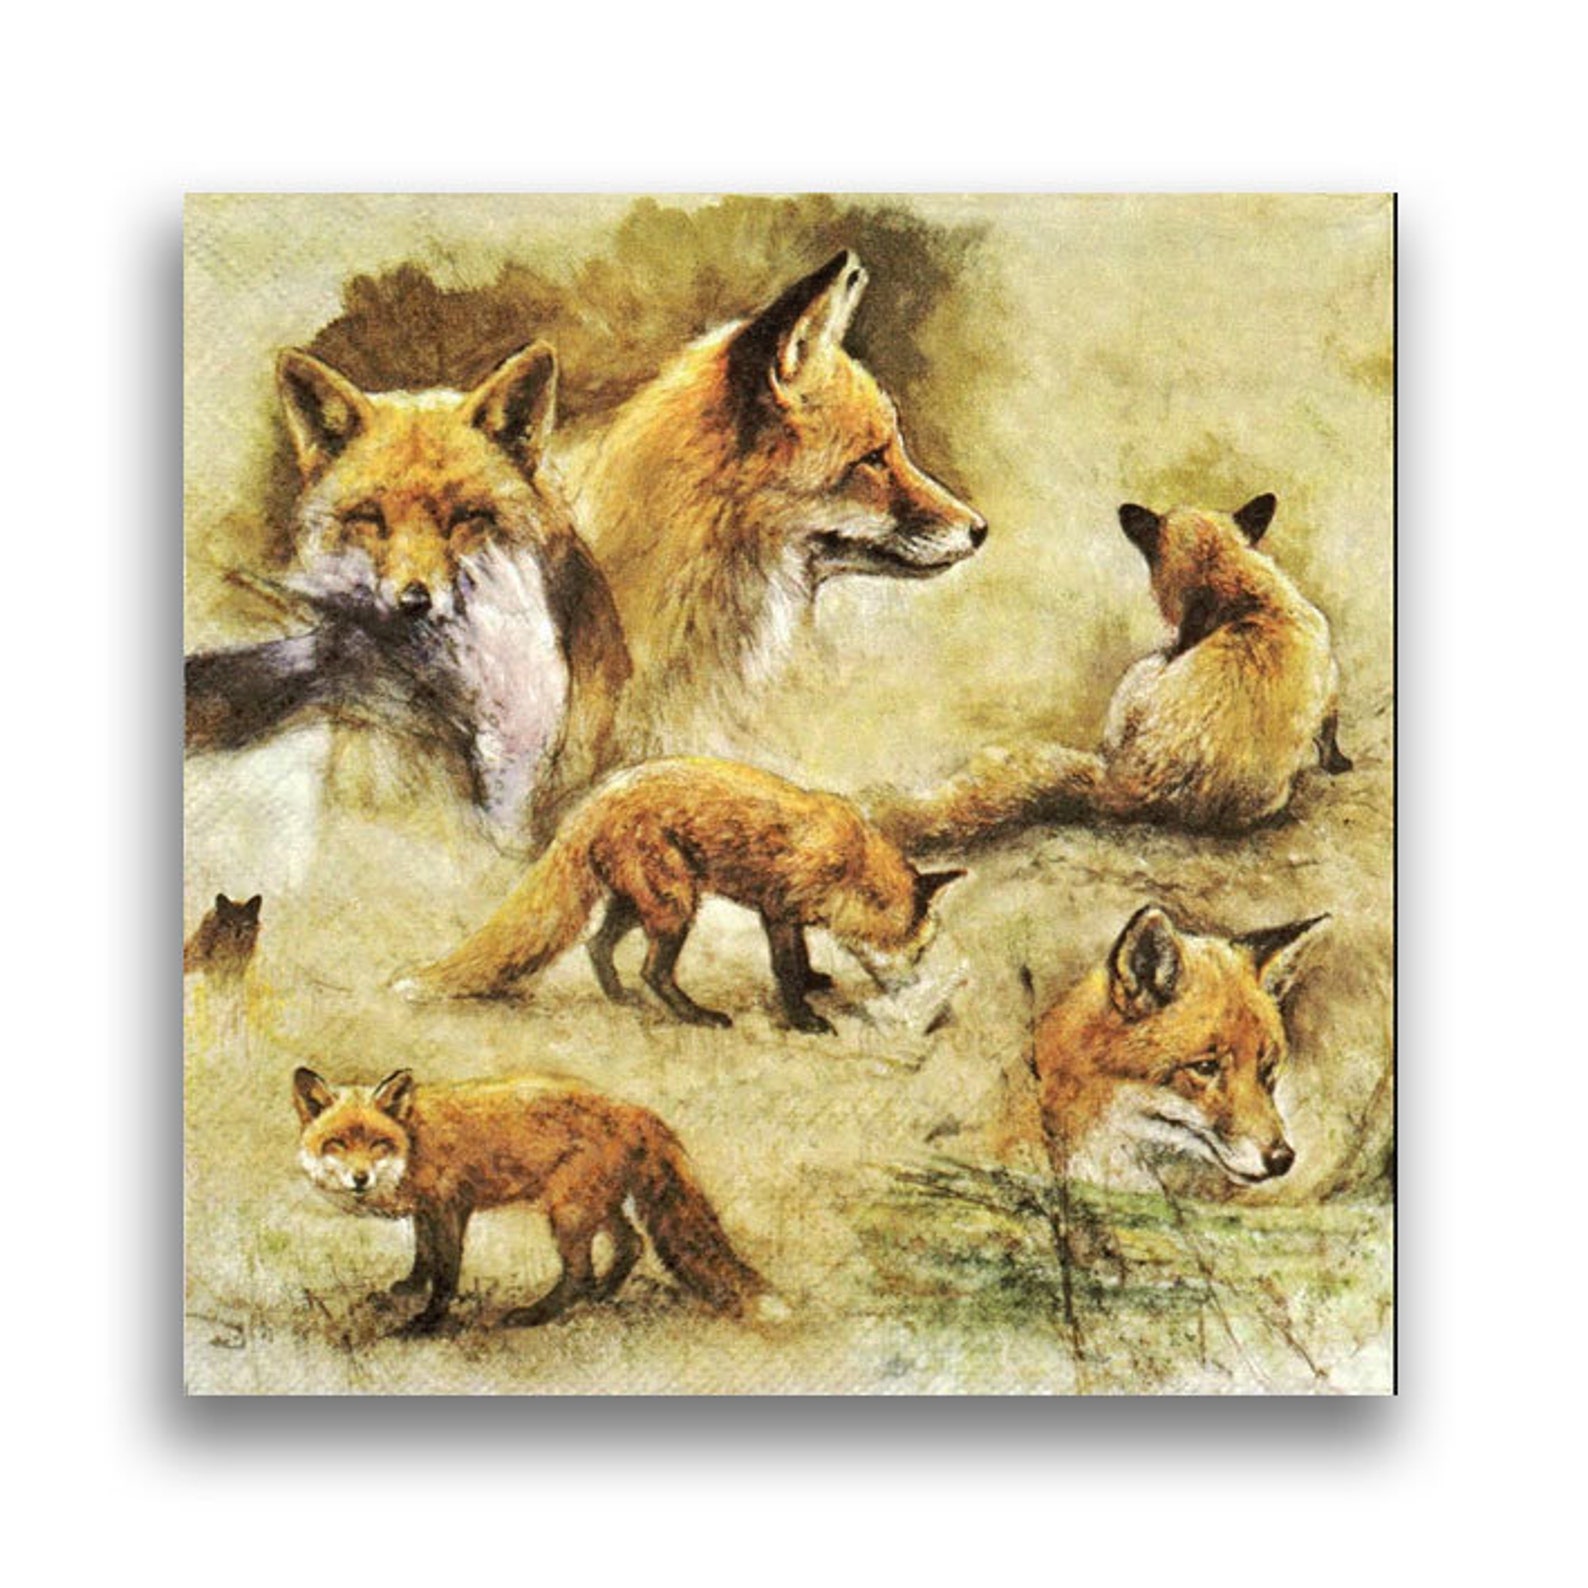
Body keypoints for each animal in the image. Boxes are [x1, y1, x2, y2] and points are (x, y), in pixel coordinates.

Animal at [292, 1066, 779, 1336]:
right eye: (337, 1143)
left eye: (378, 1143)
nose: (360, 1178)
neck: (415, 1139)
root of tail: (633, 1110)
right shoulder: (428, 1212)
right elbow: (423, 1257)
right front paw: (408, 1289)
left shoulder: (450, 1207)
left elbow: (446, 1273)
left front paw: (425, 1324)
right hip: (594, 1206)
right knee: (632, 1244)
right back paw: (602, 1295)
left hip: (569, 1213)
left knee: (580, 1271)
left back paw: (536, 1314)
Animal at [394, 757, 965, 1035]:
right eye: (917, 952)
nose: (917, 988)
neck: (847, 859)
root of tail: (597, 799)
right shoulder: (778, 910)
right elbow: (784, 967)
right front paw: (803, 1019)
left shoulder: (788, 915)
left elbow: (800, 960)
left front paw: (813, 981)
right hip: (675, 904)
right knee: (653, 970)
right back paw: (695, 1016)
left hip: (640, 901)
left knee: (597, 945)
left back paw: (619, 996)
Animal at [867, 493, 1352, 850]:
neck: (1253, 603)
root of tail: (1127, 786)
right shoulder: (1329, 683)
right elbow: (1330, 733)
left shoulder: (1329, 685)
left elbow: (1330, 736)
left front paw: (1337, 764)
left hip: (1141, 669)